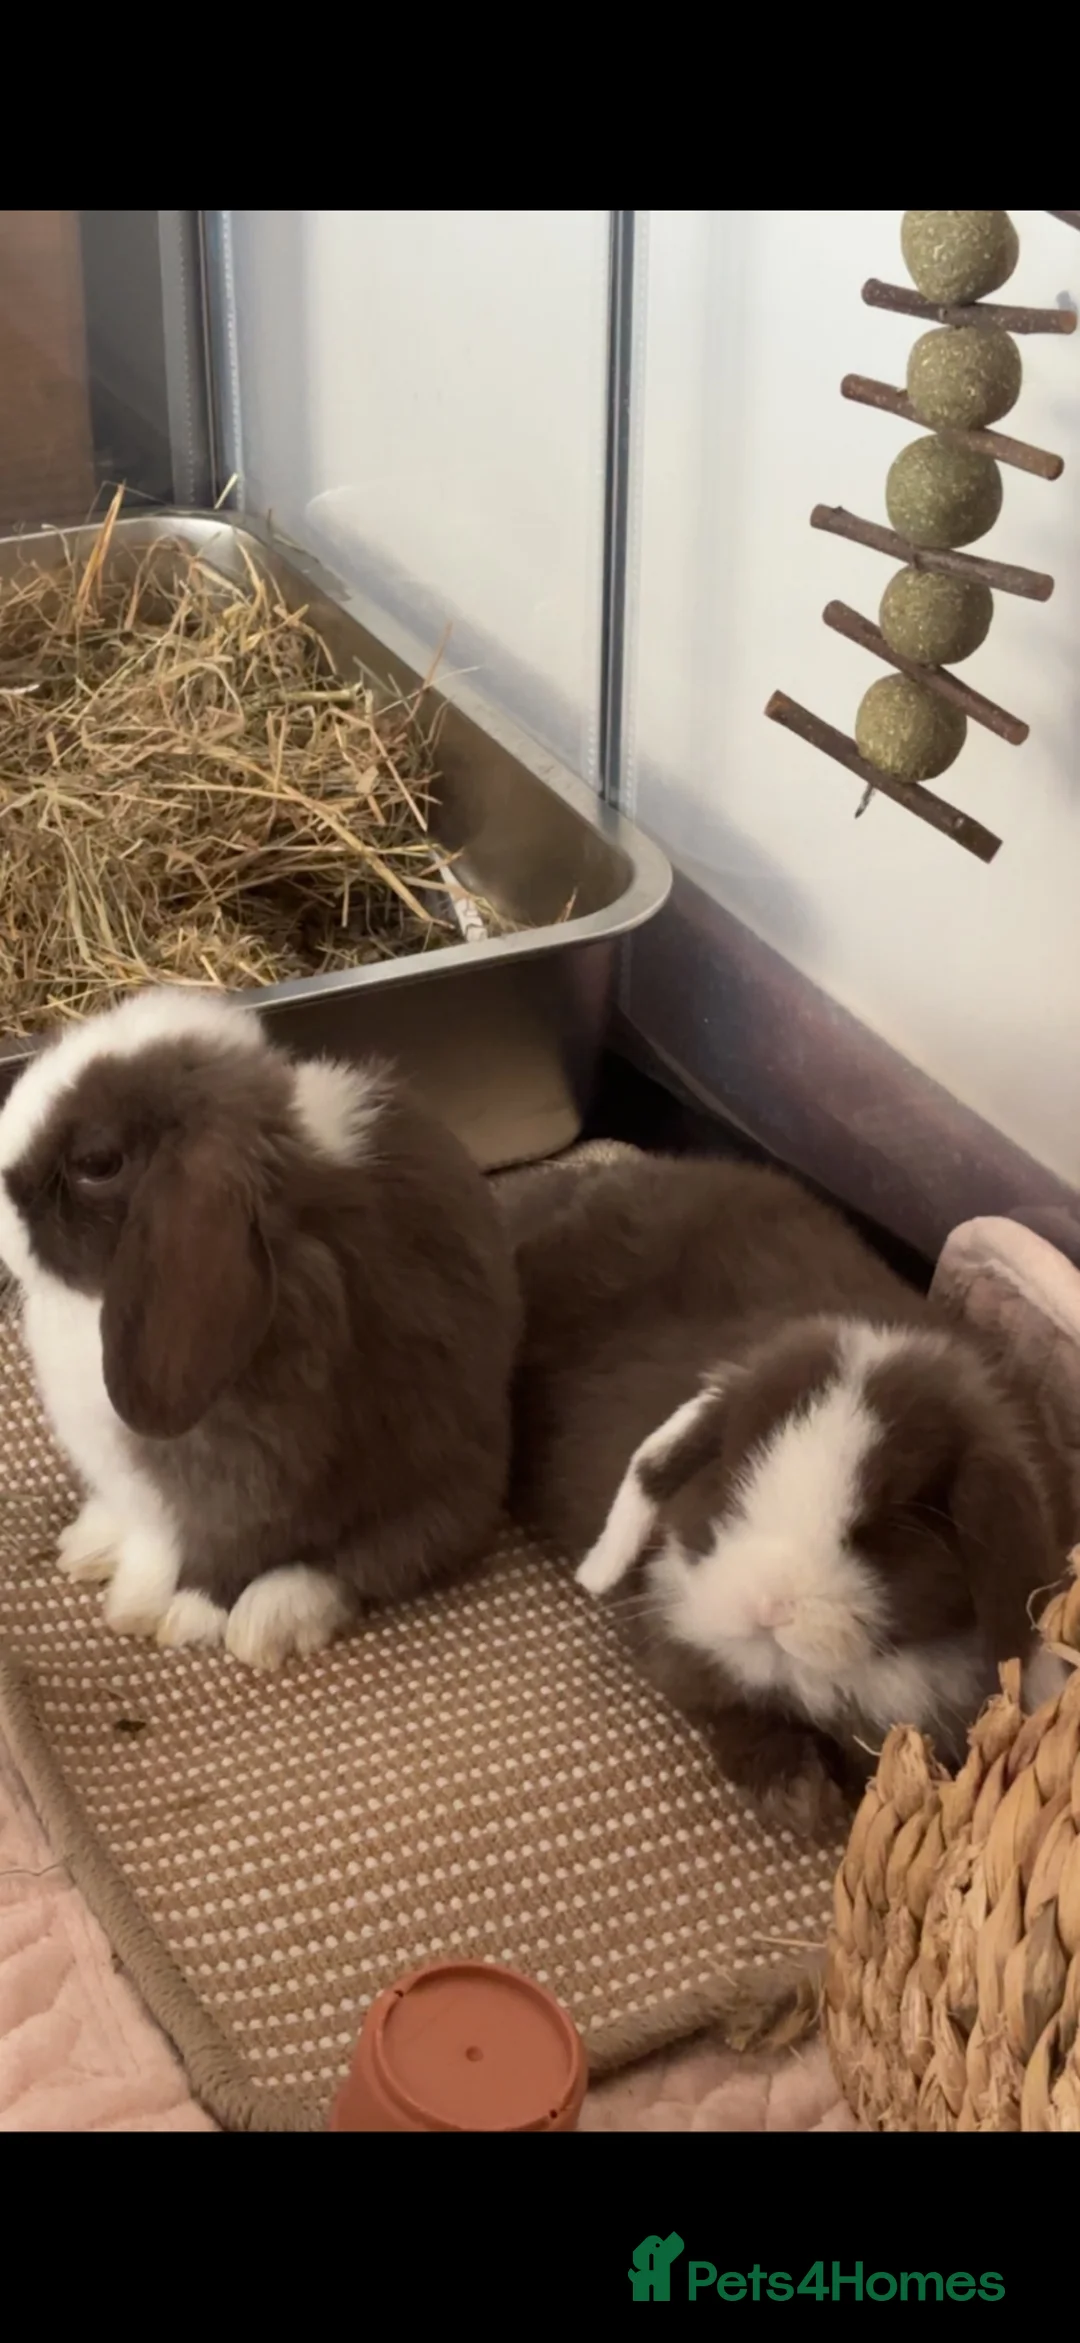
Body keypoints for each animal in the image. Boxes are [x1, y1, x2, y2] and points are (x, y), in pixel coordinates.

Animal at [0, 986, 520, 1671]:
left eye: (97, 1163)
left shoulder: (243, 1481)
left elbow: (204, 1555)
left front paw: (162, 1614)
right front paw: (101, 1560)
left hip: (431, 1491)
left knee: (367, 1562)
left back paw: (269, 1619)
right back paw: (88, 1546)